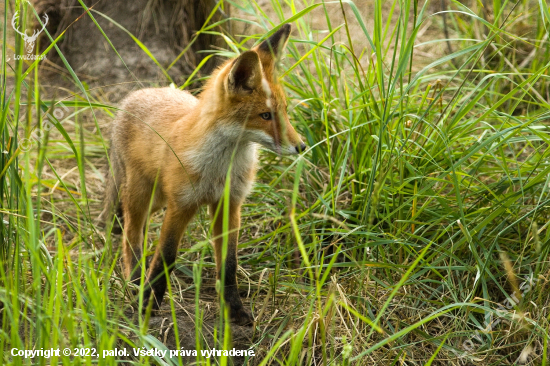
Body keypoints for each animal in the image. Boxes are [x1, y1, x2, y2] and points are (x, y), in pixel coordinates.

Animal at [99, 24, 306, 324]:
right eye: (265, 116)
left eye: (285, 112)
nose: (301, 146)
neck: (221, 169)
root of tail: (135, 95)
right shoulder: (181, 205)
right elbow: (165, 259)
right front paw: (147, 305)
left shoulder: (229, 204)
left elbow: (229, 265)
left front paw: (235, 310)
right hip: (142, 194)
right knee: (131, 233)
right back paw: (136, 279)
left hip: (157, 199)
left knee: (129, 222)